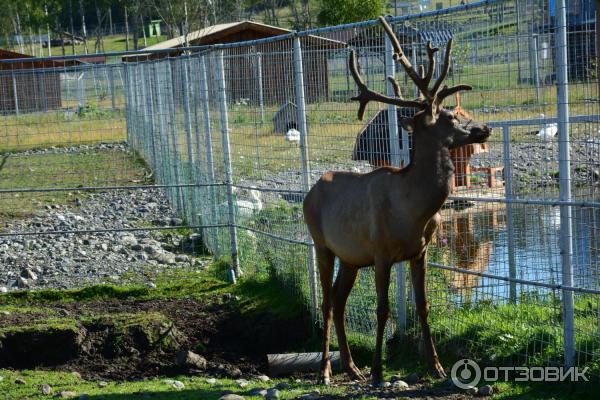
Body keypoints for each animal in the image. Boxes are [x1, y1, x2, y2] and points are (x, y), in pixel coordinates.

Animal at [302, 17, 490, 386]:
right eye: (451, 116)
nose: (485, 128)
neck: (415, 211)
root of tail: (309, 192)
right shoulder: (381, 252)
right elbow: (382, 308)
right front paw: (379, 370)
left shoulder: (420, 251)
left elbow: (424, 306)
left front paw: (435, 366)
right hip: (322, 244)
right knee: (327, 304)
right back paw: (327, 370)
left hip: (351, 257)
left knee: (340, 301)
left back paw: (352, 367)